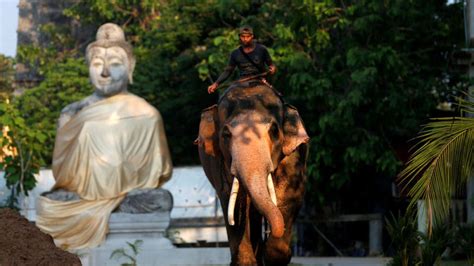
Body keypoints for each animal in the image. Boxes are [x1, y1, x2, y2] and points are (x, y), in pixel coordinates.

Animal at [194, 83, 310, 266]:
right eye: (226, 134)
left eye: (274, 131)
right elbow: (234, 204)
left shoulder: (294, 157)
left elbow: (290, 196)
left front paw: (275, 256)